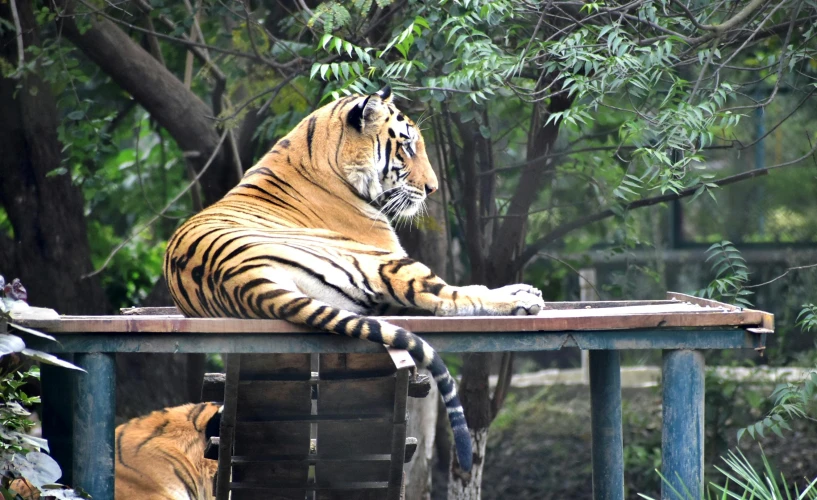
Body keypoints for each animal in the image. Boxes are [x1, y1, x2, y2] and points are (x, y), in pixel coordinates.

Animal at [161, 86, 540, 472]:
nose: (433, 188)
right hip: (382, 261)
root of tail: (245, 281)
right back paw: (522, 302)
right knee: (445, 298)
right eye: (407, 147)